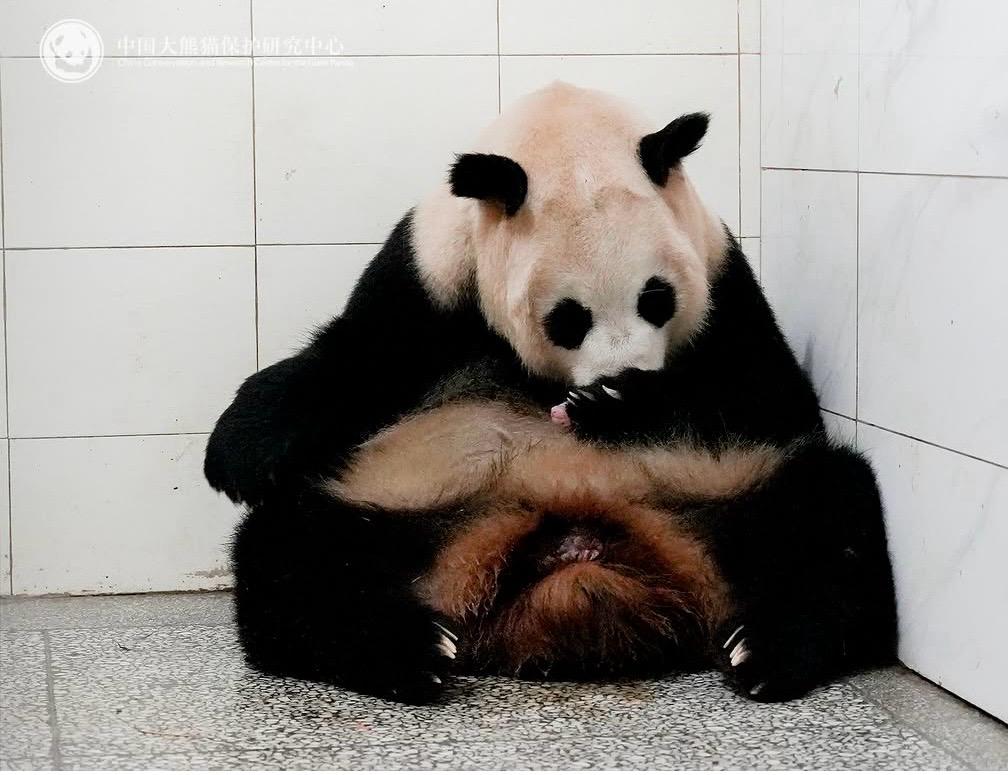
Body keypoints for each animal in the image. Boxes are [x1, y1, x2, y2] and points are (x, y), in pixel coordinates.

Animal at [205, 82, 897, 704]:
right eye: (569, 318)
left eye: (657, 298)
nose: (616, 374)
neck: (567, 125)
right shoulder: (429, 273)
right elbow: (351, 362)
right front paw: (239, 455)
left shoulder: (721, 273)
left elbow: (773, 398)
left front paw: (618, 405)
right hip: (401, 508)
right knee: (293, 552)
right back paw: (411, 650)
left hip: (729, 490)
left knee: (827, 512)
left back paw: (768, 647)